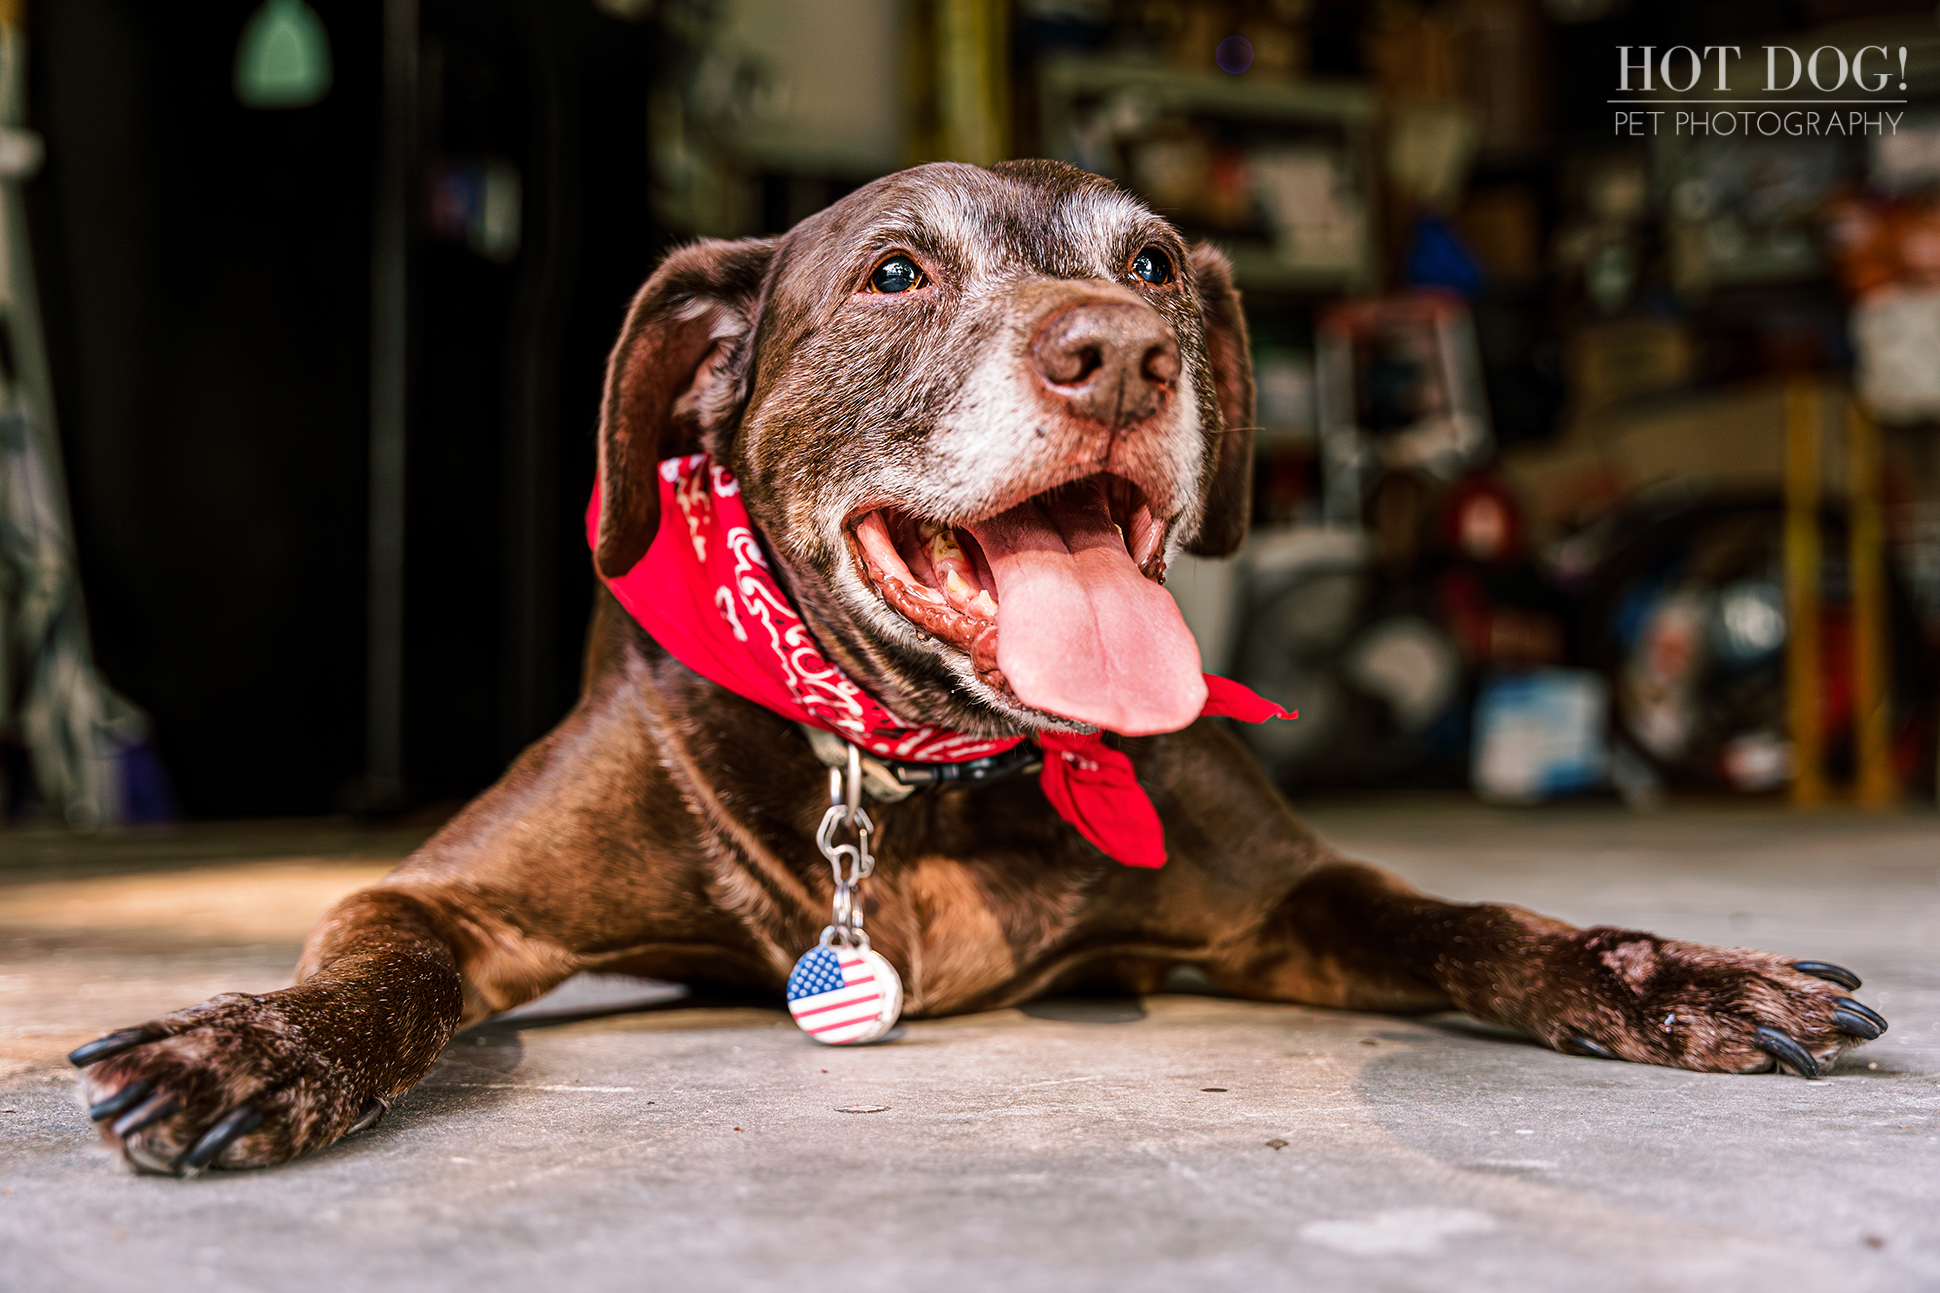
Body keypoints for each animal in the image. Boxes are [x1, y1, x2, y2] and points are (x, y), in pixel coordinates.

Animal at [68, 161, 1885, 1164]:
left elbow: (1474, 919)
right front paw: (251, 1042)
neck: (917, 764)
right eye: (894, 272)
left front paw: (1664, 973)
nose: (1127, 353)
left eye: (1155, 265)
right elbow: (377, 966)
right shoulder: (448, 900)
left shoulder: (1292, 899)